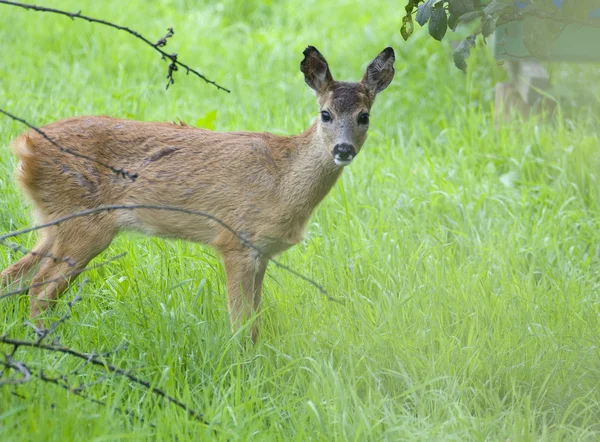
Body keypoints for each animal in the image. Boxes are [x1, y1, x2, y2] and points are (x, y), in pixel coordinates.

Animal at [2, 45, 396, 342]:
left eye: (364, 117)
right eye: (325, 114)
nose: (343, 149)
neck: (283, 180)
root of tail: (24, 146)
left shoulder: (263, 252)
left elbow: (255, 321)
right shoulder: (235, 241)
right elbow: (242, 324)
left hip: (52, 221)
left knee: (15, 278)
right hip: (83, 223)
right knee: (39, 289)